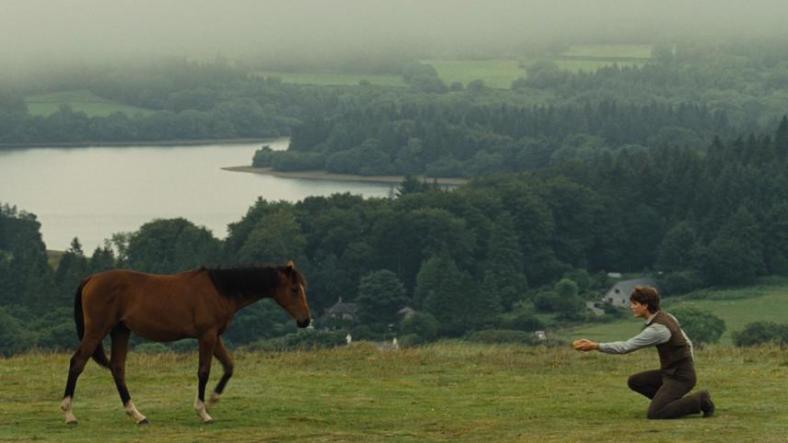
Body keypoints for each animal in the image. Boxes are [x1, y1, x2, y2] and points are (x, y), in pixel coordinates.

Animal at [60, 261, 311, 425]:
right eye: (294, 289)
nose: (305, 320)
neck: (219, 289)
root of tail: (91, 279)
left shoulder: (215, 336)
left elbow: (229, 366)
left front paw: (213, 399)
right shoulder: (207, 335)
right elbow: (204, 371)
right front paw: (203, 411)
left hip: (120, 331)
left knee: (117, 368)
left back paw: (137, 415)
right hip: (97, 330)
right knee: (77, 362)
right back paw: (69, 413)